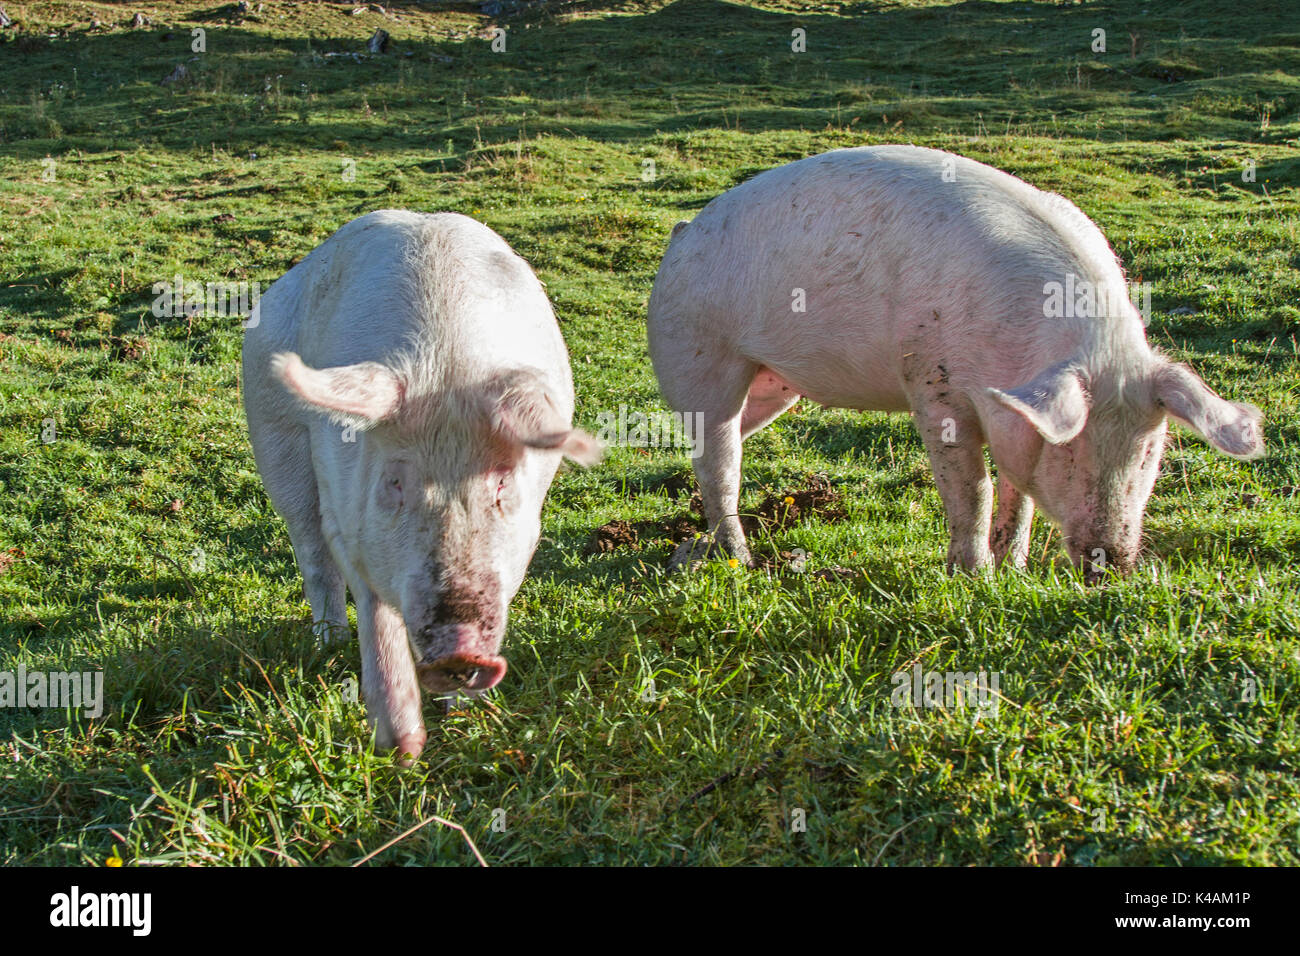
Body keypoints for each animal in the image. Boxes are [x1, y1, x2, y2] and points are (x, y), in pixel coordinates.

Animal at [242, 210, 599, 761]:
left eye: (501, 484)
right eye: (394, 482)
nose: (458, 647)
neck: (446, 368)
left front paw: (464, 718)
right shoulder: (349, 512)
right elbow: (372, 607)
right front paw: (402, 751)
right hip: (272, 429)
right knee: (311, 551)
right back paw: (329, 643)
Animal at [647, 146, 1264, 578]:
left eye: (1150, 451)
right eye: (1071, 449)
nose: (1109, 564)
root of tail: (683, 233)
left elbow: (1019, 498)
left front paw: (1013, 570)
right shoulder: (930, 378)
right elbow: (973, 488)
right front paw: (973, 576)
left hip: (775, 388)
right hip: (697, 357)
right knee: (718, 463)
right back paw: (740, 560)